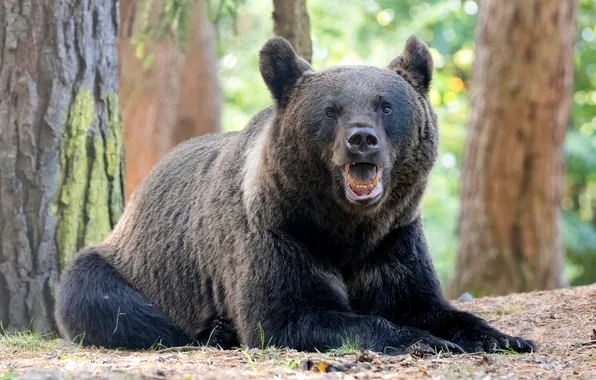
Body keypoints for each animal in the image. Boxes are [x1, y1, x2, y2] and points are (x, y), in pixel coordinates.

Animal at [54, 34, 536, 354]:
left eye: (385, 105)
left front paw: (506, 337)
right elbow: (292, 314)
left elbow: (426, 303)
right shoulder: (282, 234)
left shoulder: (393, 242)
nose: (362, 140)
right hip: (128, 265)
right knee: (108, 302)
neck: (346, 228)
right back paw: (214, 331)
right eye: (331, 110)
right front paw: (425, 340)